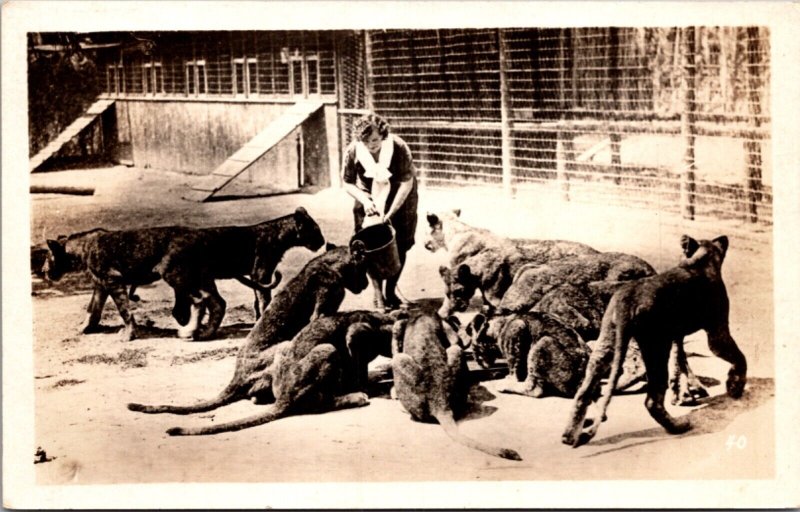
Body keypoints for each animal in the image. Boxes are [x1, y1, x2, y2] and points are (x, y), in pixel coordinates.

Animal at [42, 208, 324, 340]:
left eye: (46, 256)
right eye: (315, 229)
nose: (43, 271)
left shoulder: (113, 280)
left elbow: (123, 310)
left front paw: (128, 335)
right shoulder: (102, 284)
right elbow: (93, 308)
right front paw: (85, 328)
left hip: (177, 275)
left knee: (203, 301)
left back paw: (190, 331)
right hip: (199, 278)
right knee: (215, 303)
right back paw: (202, 331)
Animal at [564, 236, 752, 448]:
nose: (724, 238)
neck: (698, 261)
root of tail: (627, 300)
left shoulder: (677, 334)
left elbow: (680, 360)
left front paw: (685, 393)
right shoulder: (717, 332)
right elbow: (739, 358)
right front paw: (735, 386)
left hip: (606, 344)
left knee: (583, 392)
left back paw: (569, 436)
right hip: (656, 347)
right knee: (652, 401)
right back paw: (679, 426)